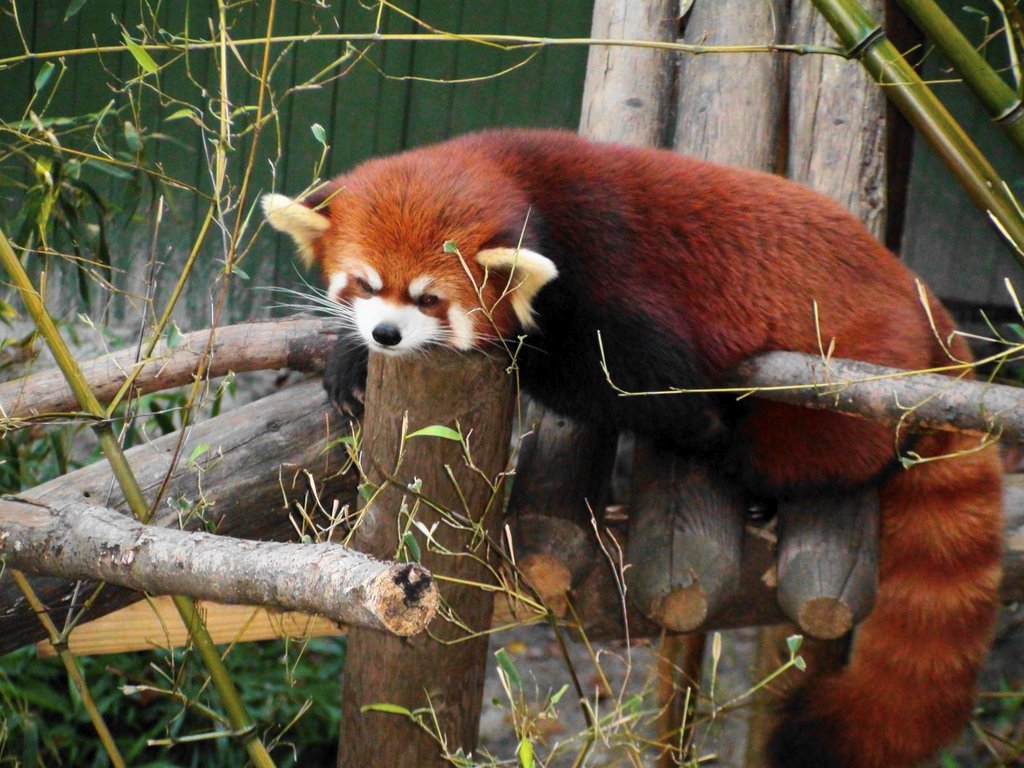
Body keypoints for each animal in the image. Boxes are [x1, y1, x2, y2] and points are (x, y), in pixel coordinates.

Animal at [262, 129, 999, 765]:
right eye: (365, 284)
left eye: (430, 299)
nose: (387, 334)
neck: (524, 178)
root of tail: (926, 300)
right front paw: (350, 362)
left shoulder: (609, 272)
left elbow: (637, 380)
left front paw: (691, 422)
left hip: (842, 385)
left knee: (815, 448)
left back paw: (757, 479)